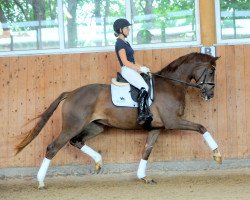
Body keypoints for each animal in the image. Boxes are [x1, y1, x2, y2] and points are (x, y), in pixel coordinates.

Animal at [15, 52, 221, 189]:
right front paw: (217, 155)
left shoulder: (157, 127)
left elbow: (147, 150)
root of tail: (71, 93)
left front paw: (143, 177)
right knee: (53, 147)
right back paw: (41, 182)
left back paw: (98, 162)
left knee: (77, 141)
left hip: (96, 127)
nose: (210, 95)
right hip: (73, 125)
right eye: (211, 72)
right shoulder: (173, 122)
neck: (172, 84)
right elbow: (202, 127)